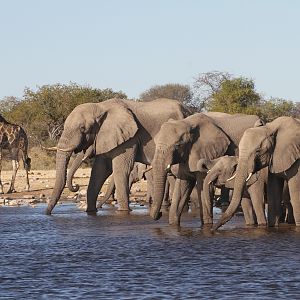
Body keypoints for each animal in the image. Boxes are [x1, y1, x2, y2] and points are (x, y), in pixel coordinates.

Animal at [45, 97, 189, 214]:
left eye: (82, 129)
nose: (47, 213)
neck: (100, 107)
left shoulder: (129, 138)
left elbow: (120, 169)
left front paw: (124, 211)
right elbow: (100, 171)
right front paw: (91, 211)